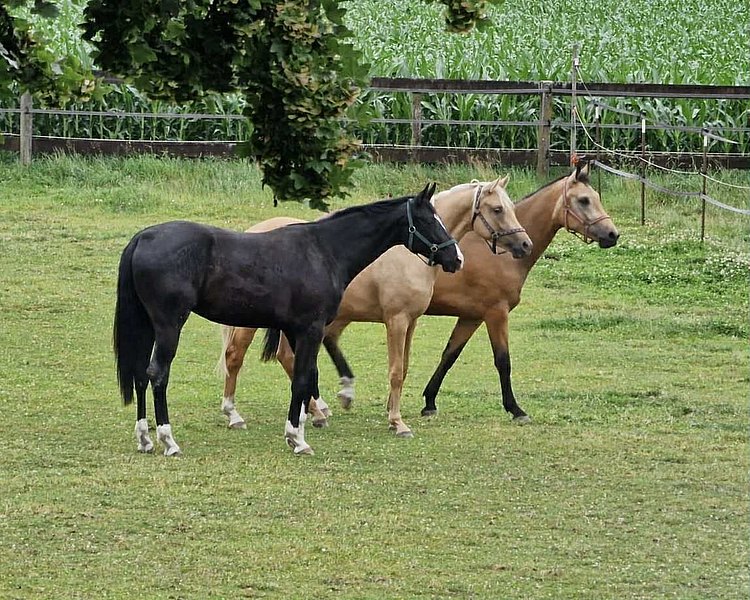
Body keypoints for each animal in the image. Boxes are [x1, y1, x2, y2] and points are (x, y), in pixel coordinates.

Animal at [113, 183, 463, 456]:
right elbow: (302, 378)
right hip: (169, 325)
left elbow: (307, 376)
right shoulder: (311, 328)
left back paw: (145, 438)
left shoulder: (298, 330)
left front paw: (304, 427)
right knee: (158, 374)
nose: (456, 258)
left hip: (149, 325)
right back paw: (168, 440)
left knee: (141, 374)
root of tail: (143, 238)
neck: (324, 251)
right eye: (427, 220)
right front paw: (299, 439)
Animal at [219, 176, 533, 436]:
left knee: (287, 358)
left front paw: (392, 412)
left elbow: (404, 368)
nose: (524, 244)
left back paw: (317, 412)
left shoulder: (412, 322)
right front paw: (397, 422)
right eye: (497, 209)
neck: (407, 256)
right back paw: (235, 416)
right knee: (235, 356)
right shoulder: (396, 320)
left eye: (508, 207)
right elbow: (394, 370)